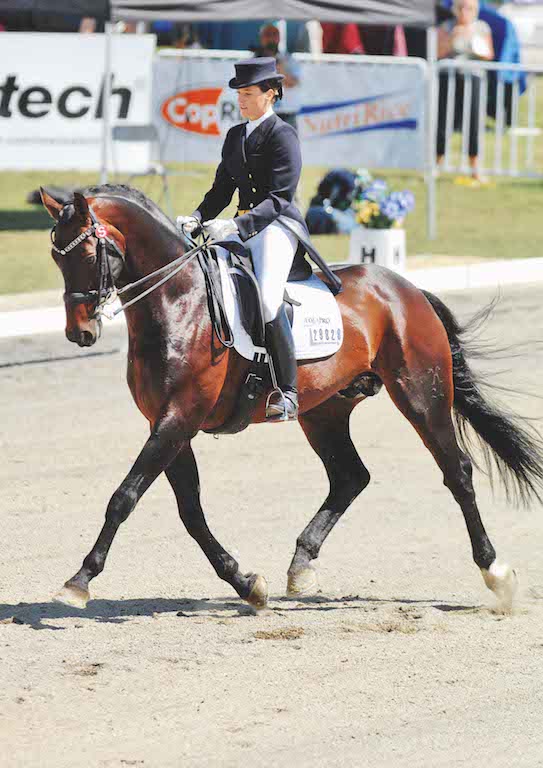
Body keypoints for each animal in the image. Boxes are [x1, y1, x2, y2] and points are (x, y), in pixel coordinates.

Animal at [40, 184, 540, 612]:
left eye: (89, 253)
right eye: (54, 255)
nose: (80, 333)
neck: (178, 303)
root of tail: (406, 289)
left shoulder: (178, 418)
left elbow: (124, 497)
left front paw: (79, 581)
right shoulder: (167, 424)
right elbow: (191, 512)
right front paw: (246, 583)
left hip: (421, 394)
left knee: (456, 472)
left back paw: (495, 573)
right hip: (324, 412)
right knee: (350, 477)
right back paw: (301, 565)